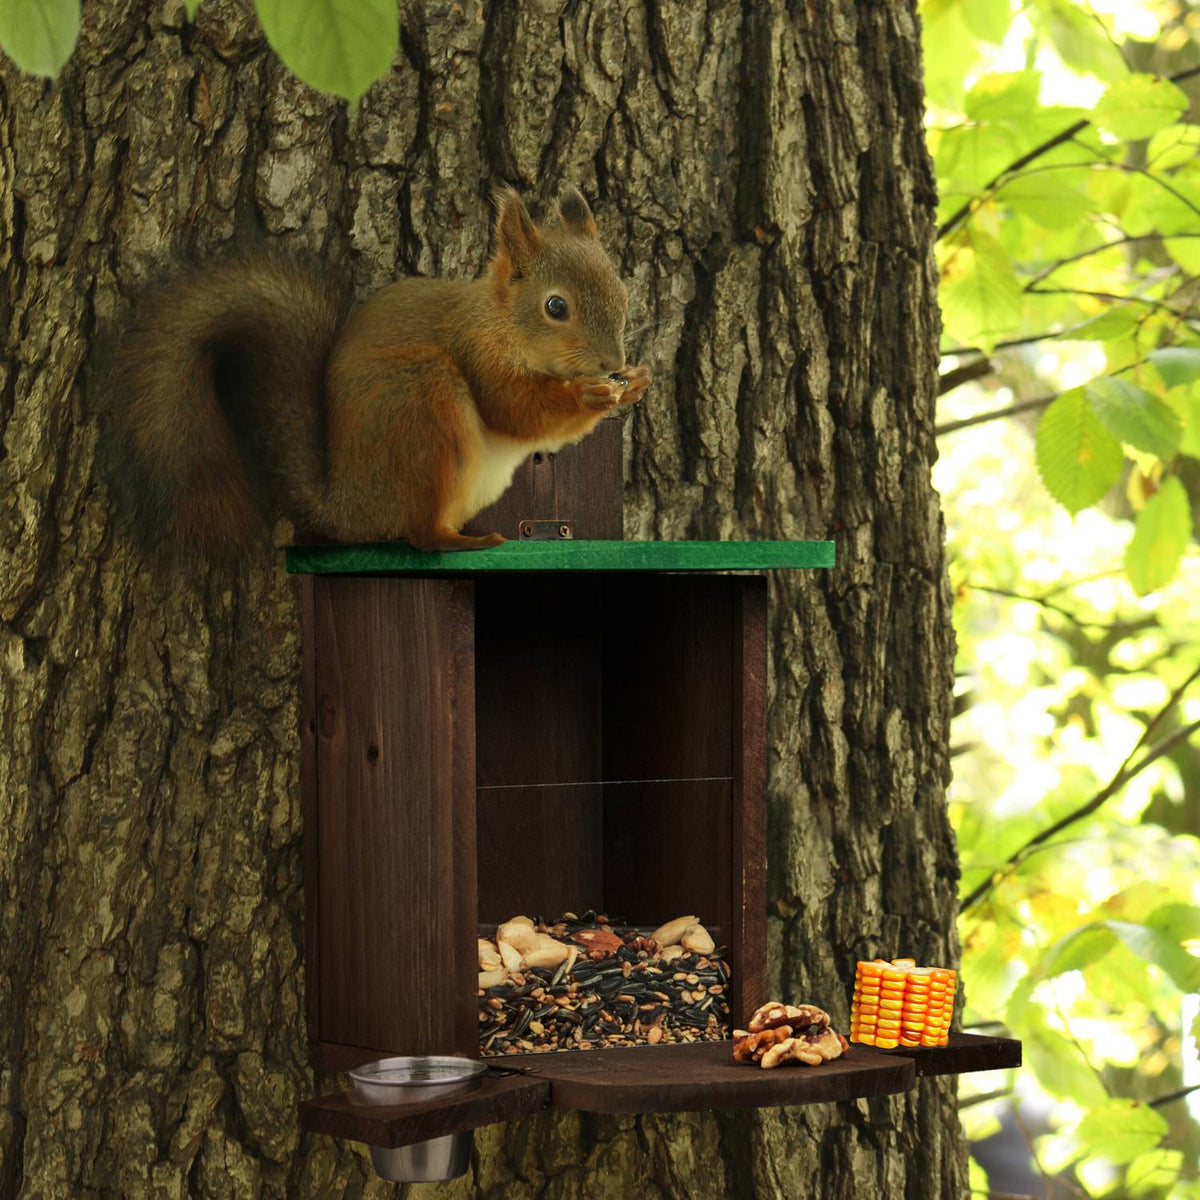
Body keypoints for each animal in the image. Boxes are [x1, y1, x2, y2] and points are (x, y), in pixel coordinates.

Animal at [105, 187, 650, 552]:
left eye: (623, 292)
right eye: (556, 307)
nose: (614, 363)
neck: (499, 321)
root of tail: (348, 506)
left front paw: (635, 383)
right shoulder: (478, 353)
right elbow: (516, 410)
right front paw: (589, 395)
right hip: (422, 406)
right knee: (420, 535)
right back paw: (464, 543)